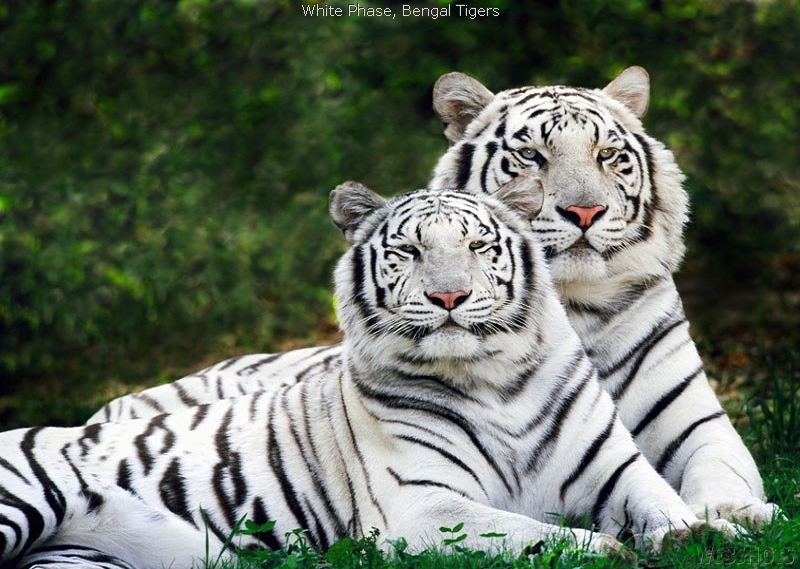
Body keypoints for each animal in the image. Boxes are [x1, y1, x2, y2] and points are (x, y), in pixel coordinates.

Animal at [0, 182, 739, 569]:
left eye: (478, 246)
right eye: (409, 250)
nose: (449, 297)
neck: (495, 379)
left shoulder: (616, 469)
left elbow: (662, 501)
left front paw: (706, 532)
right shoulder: (422, 507)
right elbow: (531, 534)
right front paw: (608, 549)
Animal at [88, 67, 778, 526]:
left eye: (609, 154)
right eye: (531, 156)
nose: (584, 212)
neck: (574, 305)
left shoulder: (698, 424)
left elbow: (720, 472)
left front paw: (735, 514)